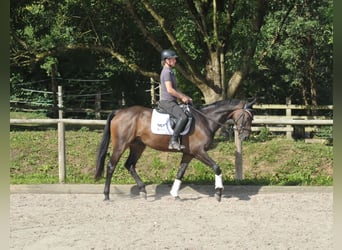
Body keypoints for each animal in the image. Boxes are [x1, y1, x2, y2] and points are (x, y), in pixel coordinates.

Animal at [95, 98, 255, 201]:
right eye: (247, 117)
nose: (245, 136)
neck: (205, 120)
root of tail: (119, 111)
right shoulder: (199, 152)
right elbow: (217, 167)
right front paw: (219, 192)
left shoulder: (189, 154)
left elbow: (180, 173)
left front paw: (174, 194)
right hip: (121, 145)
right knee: (111, 166)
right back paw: (106, 195)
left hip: (138, 145)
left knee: (130, 165)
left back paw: (143, 191)